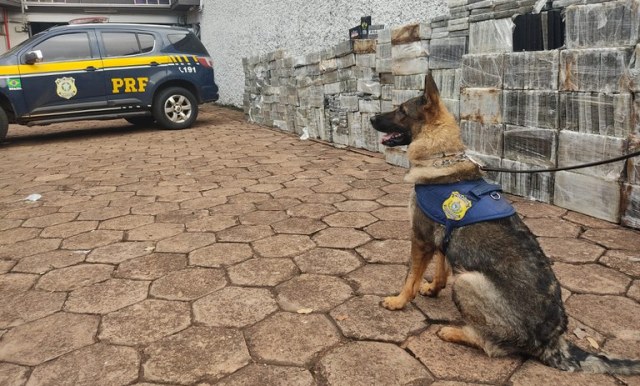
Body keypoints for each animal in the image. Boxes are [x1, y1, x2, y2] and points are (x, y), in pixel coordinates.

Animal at [370, 71, 640, 374]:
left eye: (401, 111)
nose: (371, 119)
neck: (442, 157)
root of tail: (553, 343)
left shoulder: (421, 239)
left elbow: (410, 278)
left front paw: (398, 301)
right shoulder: (440, 239)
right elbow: (440, 269)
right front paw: (433, 288)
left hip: (468, 281)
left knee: (492, 346)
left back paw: (454, 332)